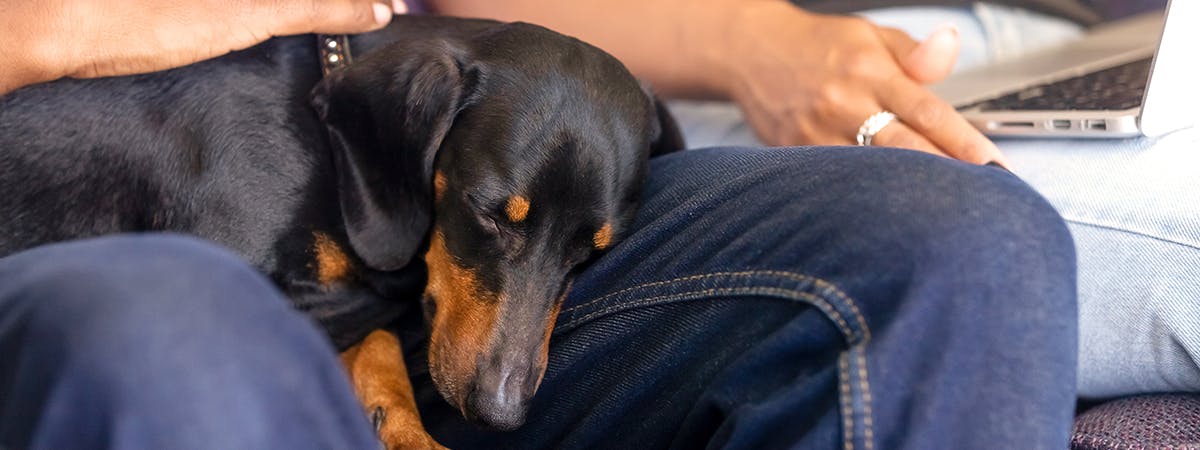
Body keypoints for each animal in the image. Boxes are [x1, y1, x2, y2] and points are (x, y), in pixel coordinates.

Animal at [0, 14, 681, 450]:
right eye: (488, 213)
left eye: (590, 255)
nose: (500, 414)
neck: (326, 143)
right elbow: (382, 302)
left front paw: (400, 425)